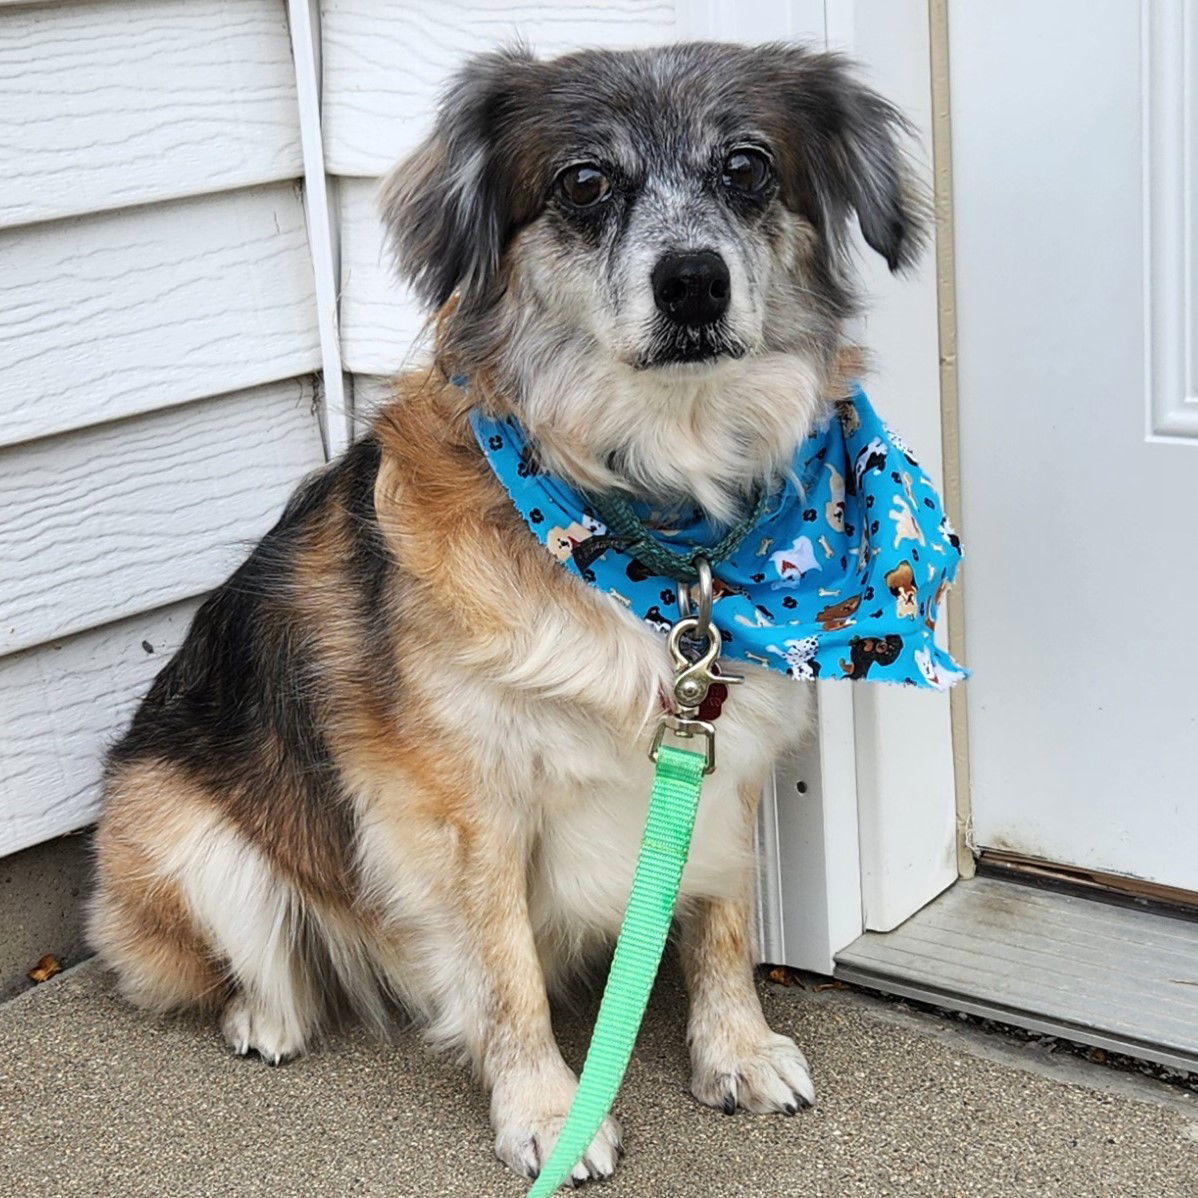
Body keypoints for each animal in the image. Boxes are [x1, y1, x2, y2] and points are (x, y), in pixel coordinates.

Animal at [88, 42, 920, 1183]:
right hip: (178, 835)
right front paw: (546, 1111)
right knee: (246, 958)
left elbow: (720, 921)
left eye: (748, 167)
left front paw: (735, 1049)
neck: (657, 530)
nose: (692, 280)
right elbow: (503, 968)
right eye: (584, 183)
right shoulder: (460, 806)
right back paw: (269, 1016)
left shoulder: (721, 750)